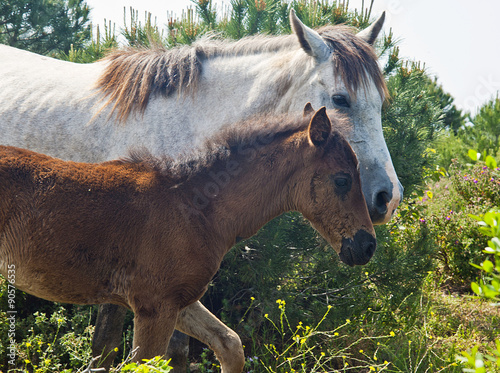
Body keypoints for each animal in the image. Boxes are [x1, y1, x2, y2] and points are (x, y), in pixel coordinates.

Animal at [0, 10, 400, 370]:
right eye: (340, 98)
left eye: (381, 102)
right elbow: (110, 348)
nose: (388, 198)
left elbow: (207, 348)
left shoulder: (175, 299)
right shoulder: (149, 300)